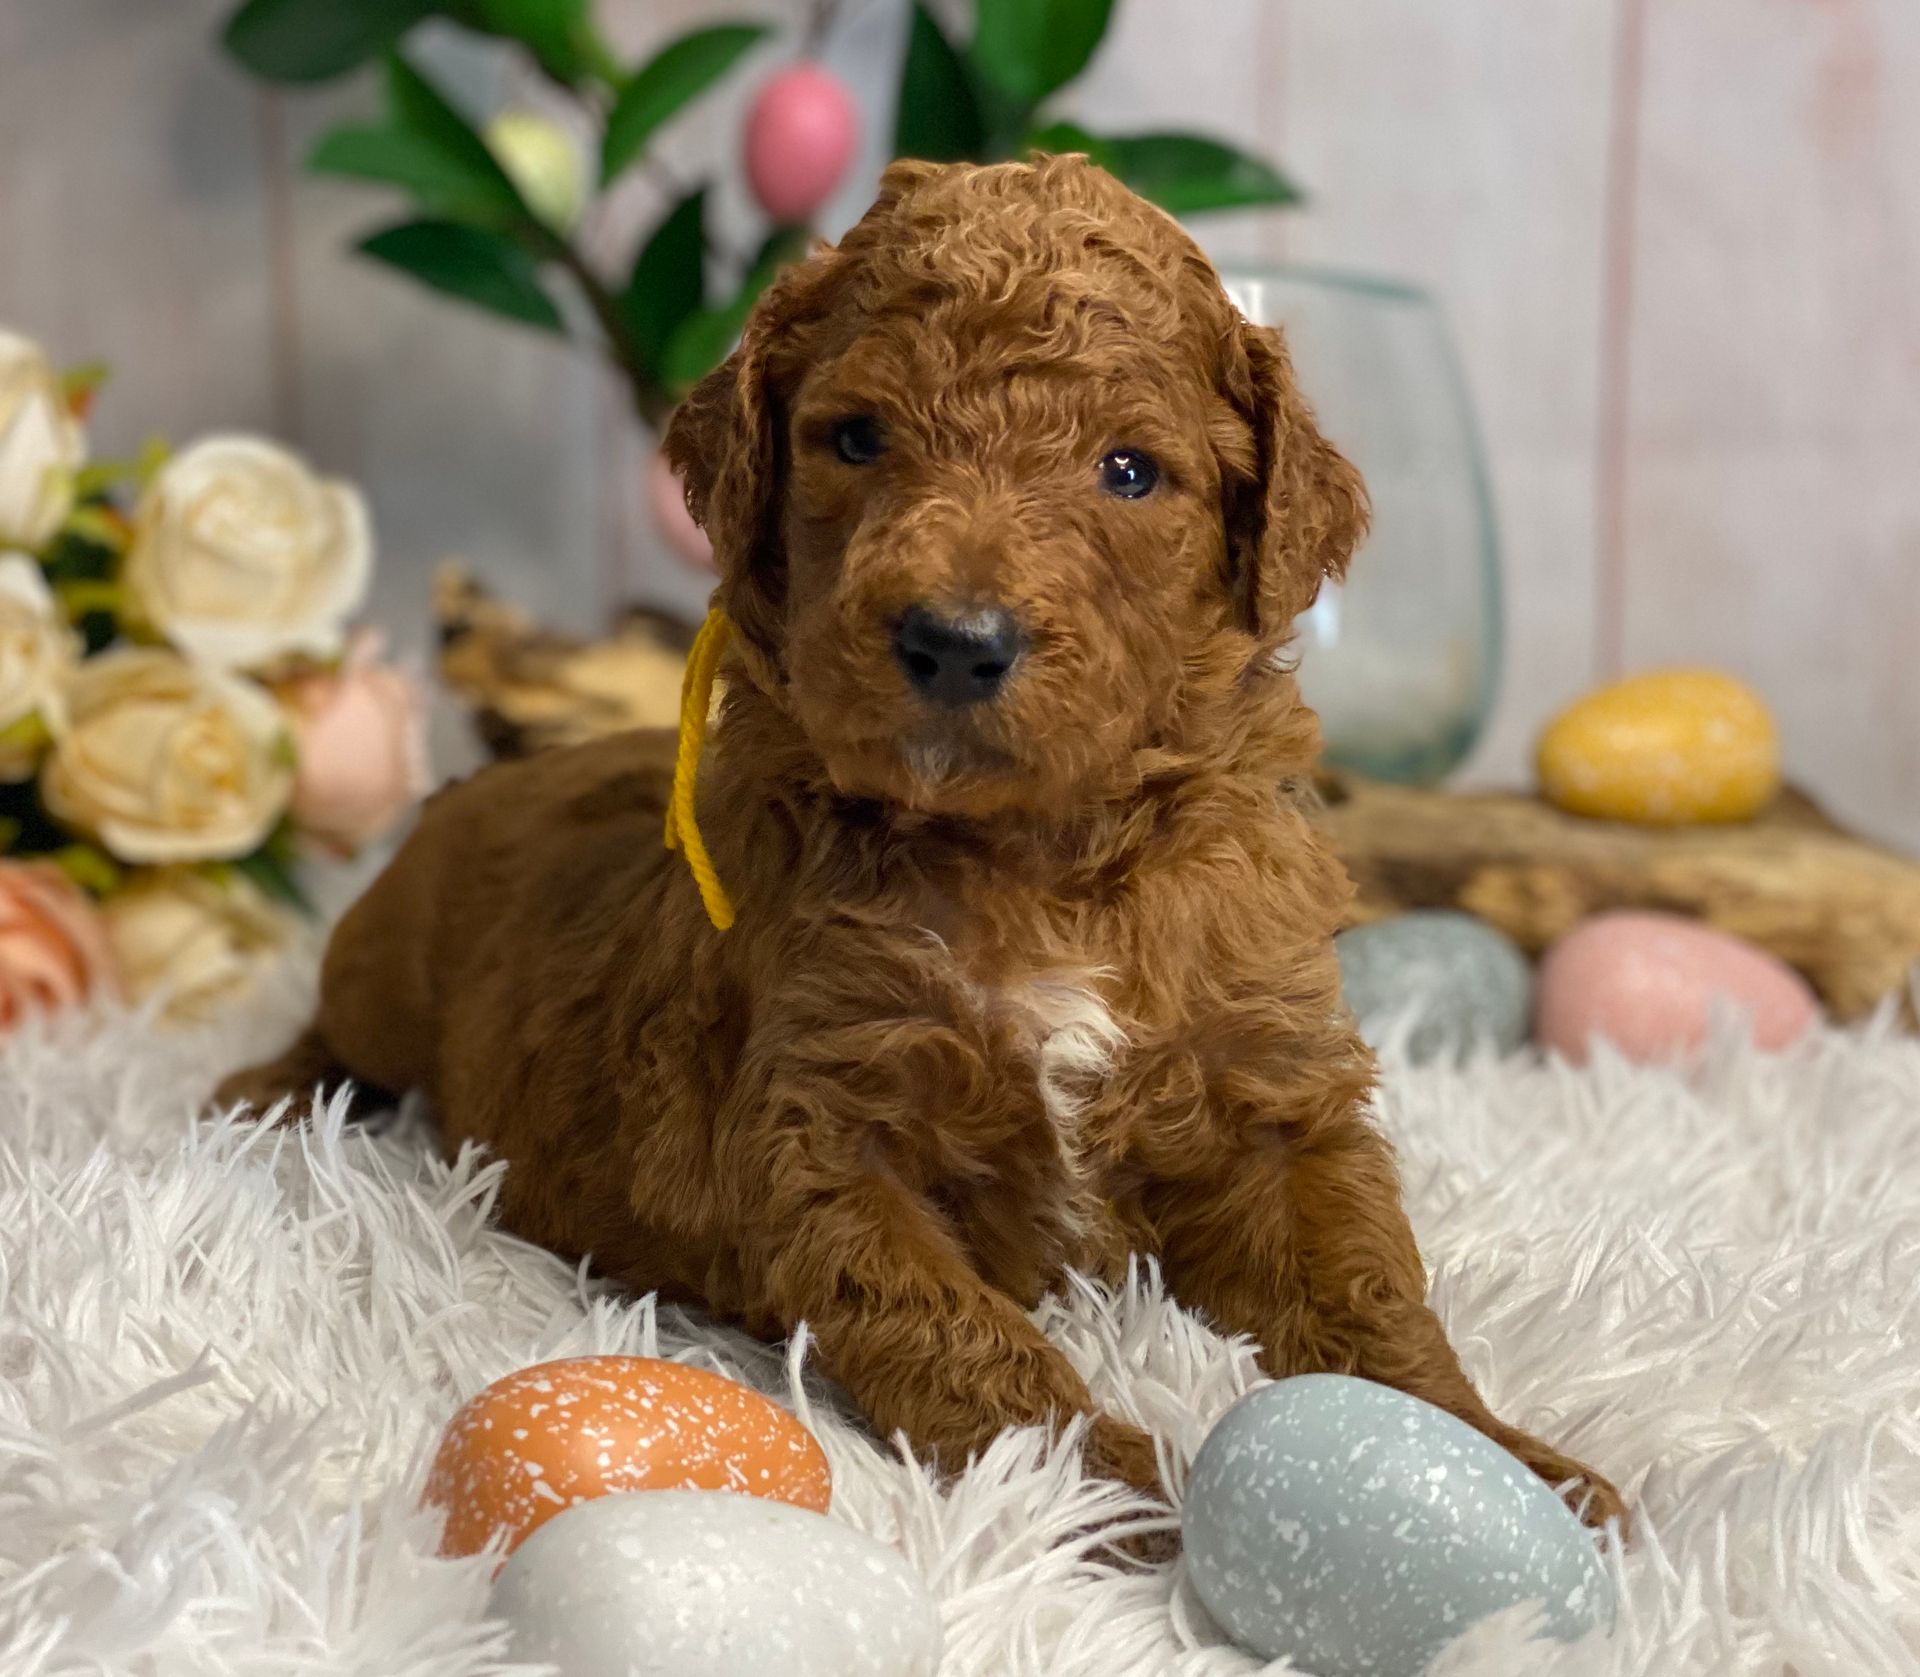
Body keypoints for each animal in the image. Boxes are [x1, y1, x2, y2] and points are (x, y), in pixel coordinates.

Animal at [224, 157, 1620, 1529]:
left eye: (1129, 471)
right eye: (856, 438)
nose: (956, 640)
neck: (1041, 860)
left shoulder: (1277, 1095)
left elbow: (1370, 1290)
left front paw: (1513, 1466)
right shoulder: (824, 1133)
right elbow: (961, 1339)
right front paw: (1107, 1501)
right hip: (384, 965)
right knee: (336, 1027)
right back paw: (260, 1097)